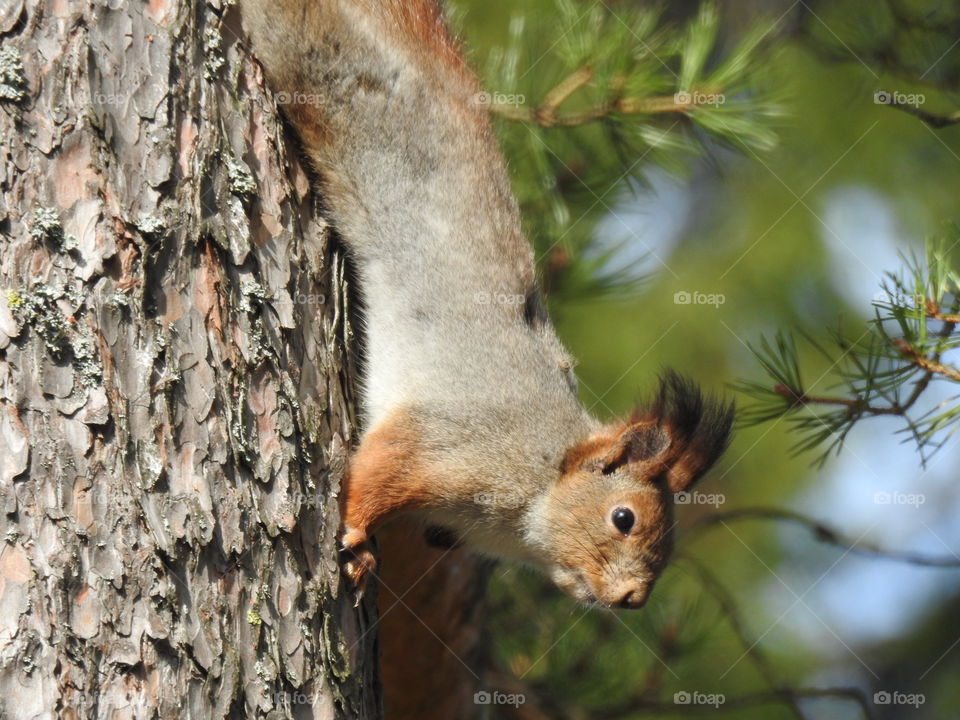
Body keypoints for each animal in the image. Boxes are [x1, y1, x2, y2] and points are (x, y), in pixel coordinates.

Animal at [238, 0, 734, 610]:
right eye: (624, 518)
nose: (633, 599)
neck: (542, 476)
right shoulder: (448, 445)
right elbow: (377, 474)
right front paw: (356, 537)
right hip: (321, 61)